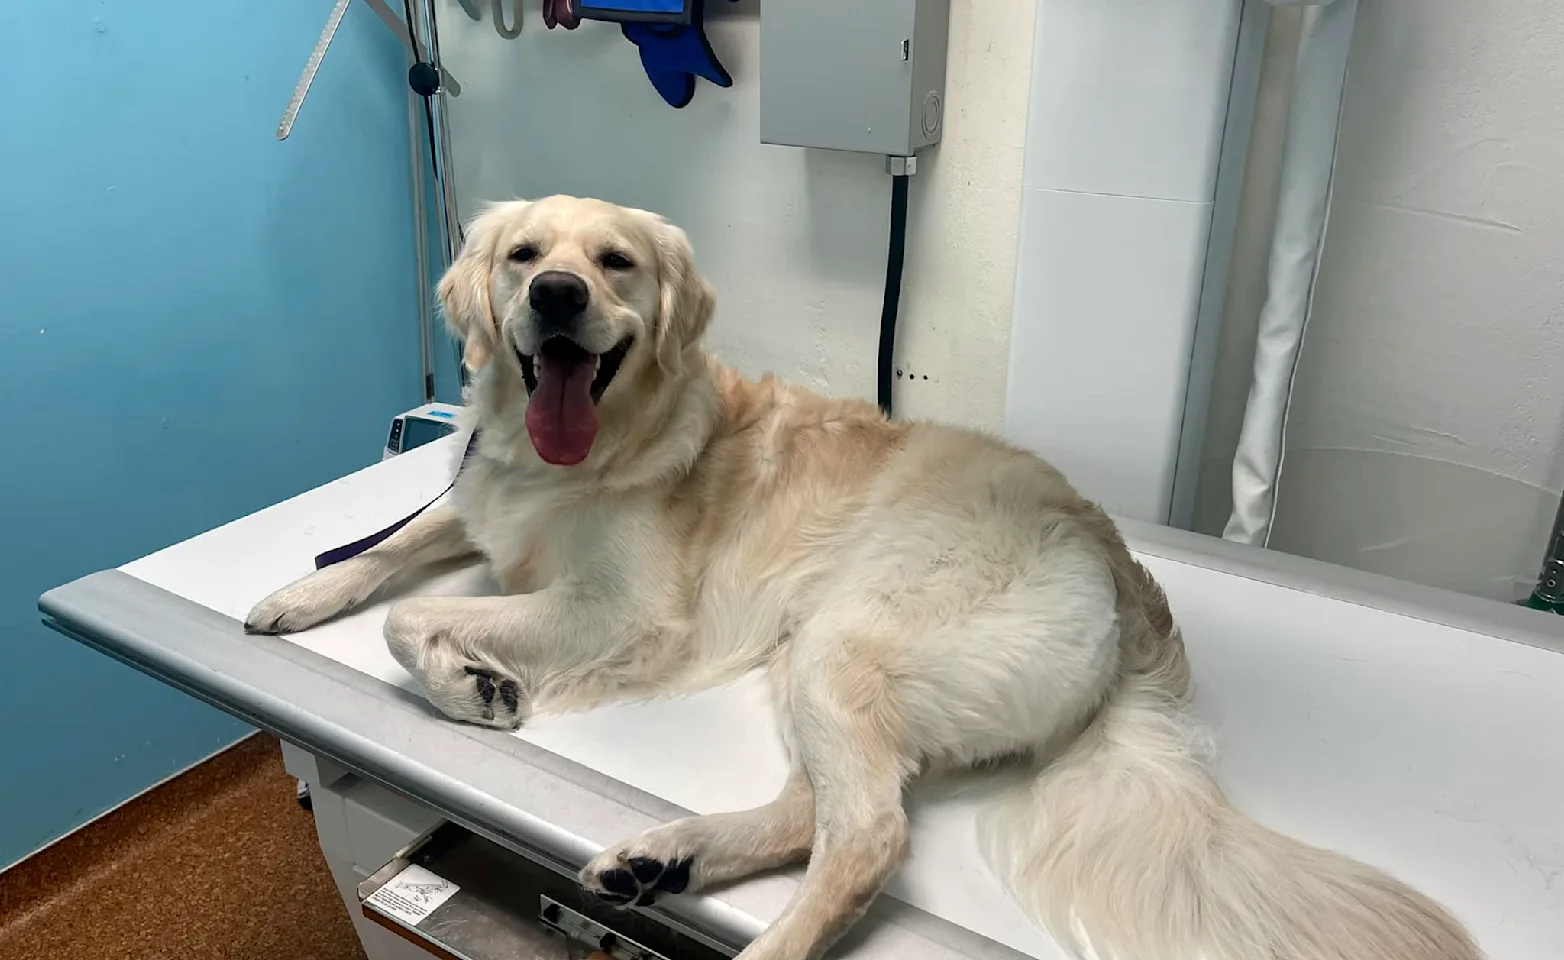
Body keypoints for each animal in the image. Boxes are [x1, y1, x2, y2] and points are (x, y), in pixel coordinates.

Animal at [243, 195, 1476, 960]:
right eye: (522, 254)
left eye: (615, 263)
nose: (555, 296)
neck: (585, 447)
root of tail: (1121, 572)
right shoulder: (478, 501)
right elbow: (393, 554)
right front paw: (298, 595)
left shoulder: (623, 608)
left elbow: (419, 620)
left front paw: (473, 681)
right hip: (816, 659)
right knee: (824, 812)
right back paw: (662, 858)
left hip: (848, 645)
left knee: (871, 836)